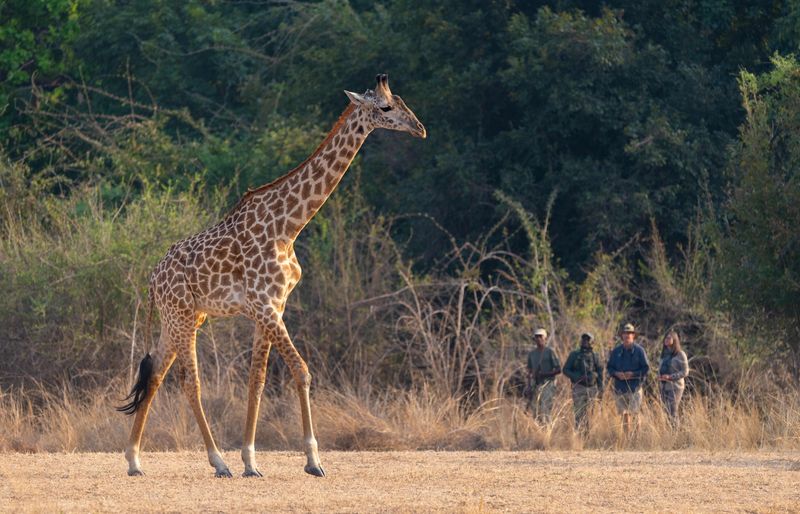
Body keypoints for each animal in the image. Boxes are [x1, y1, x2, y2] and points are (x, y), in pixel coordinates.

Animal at [118, 74, 425, 478]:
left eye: (402, 101)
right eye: (386, 107)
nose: (420, 128)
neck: (289, 226)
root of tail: (153, 279)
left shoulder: (273, 307)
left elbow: (257, 380)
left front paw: (251, 461)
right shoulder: (265, 306)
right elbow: (301, 370)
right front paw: (313, 461)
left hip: (182, 318)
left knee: (154, 372)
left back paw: (134, 460)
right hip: (182, 316)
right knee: (189, 381)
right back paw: (217, 462)